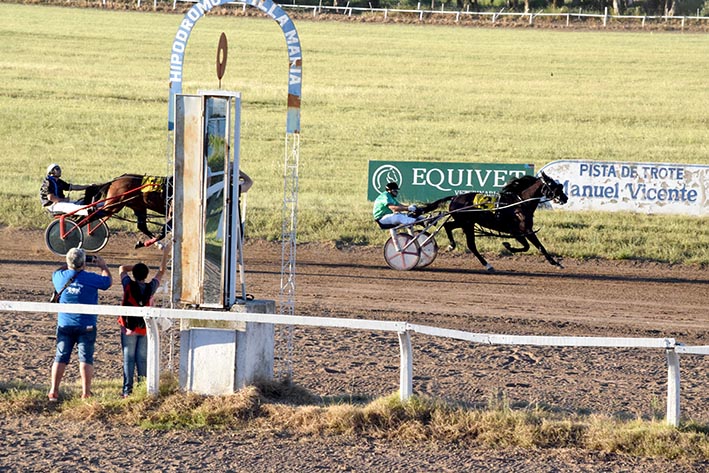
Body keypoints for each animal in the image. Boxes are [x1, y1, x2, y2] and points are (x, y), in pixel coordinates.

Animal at [418, 171, 568, 272]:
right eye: (552, 185)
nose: (565, 198)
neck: (519, 203)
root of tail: (455, 197)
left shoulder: (519, 232)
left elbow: (528, 247)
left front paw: (508, 245)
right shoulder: (522, 230)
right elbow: (537, 246)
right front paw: (556, 263)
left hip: (464, 222)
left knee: (450, 227)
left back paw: (454, 247)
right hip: (466, 223)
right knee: (468, 242)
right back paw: (485, 263)